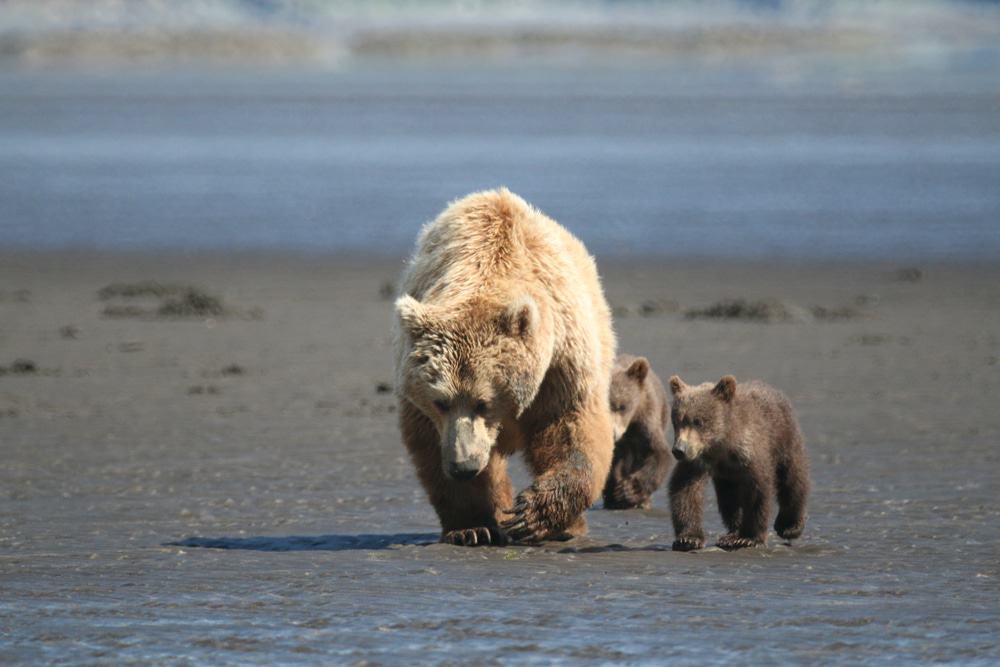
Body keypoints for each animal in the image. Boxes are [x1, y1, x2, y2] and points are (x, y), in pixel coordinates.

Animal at [393, 188, 617, 546]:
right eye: (440, 402)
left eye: (484, 401)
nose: (463, 466)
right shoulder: (423, 405)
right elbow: (431, 446)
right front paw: (471, 526)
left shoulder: (560, 364)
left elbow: (572, 429)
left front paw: (533, 514)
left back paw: (568, 526)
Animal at [602, 354, 672, 510]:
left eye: (622, 406)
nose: (612, 434)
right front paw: (616, 494)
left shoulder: (646, 422)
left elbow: (658, 453)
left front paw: (629, 491)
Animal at [666, 374, 809, 551]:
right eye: (676, 421)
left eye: (698, 421)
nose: (679, 450)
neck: (722, 444)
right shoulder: (698, 459)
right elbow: (685, 489)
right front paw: (688, 539)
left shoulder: (750, 451)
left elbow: (758, 490)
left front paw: (748, 538)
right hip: (728, 477)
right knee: (729, 497)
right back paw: (731, 533)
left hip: (784, 438)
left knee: (793, 478)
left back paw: (790, 526)